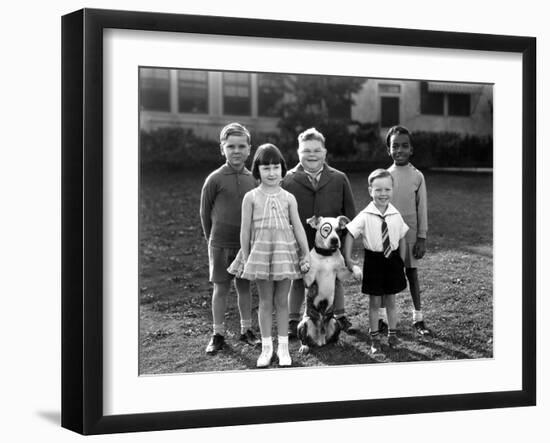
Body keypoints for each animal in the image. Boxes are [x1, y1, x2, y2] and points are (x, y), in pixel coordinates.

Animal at [300, 215, 364, 354]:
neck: (326, 255)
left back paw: (337, 341)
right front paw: (304, 265)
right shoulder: (309, 281)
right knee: (303, 338)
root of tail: (320, 340)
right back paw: (304, 346)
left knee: (335, 334)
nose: (335, 240)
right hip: (303, 323)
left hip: (335, 321)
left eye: (339, 230)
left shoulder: (341, 273)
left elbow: (351, 267)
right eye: (326, 230)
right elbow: (306, 272)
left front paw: (358, 272)